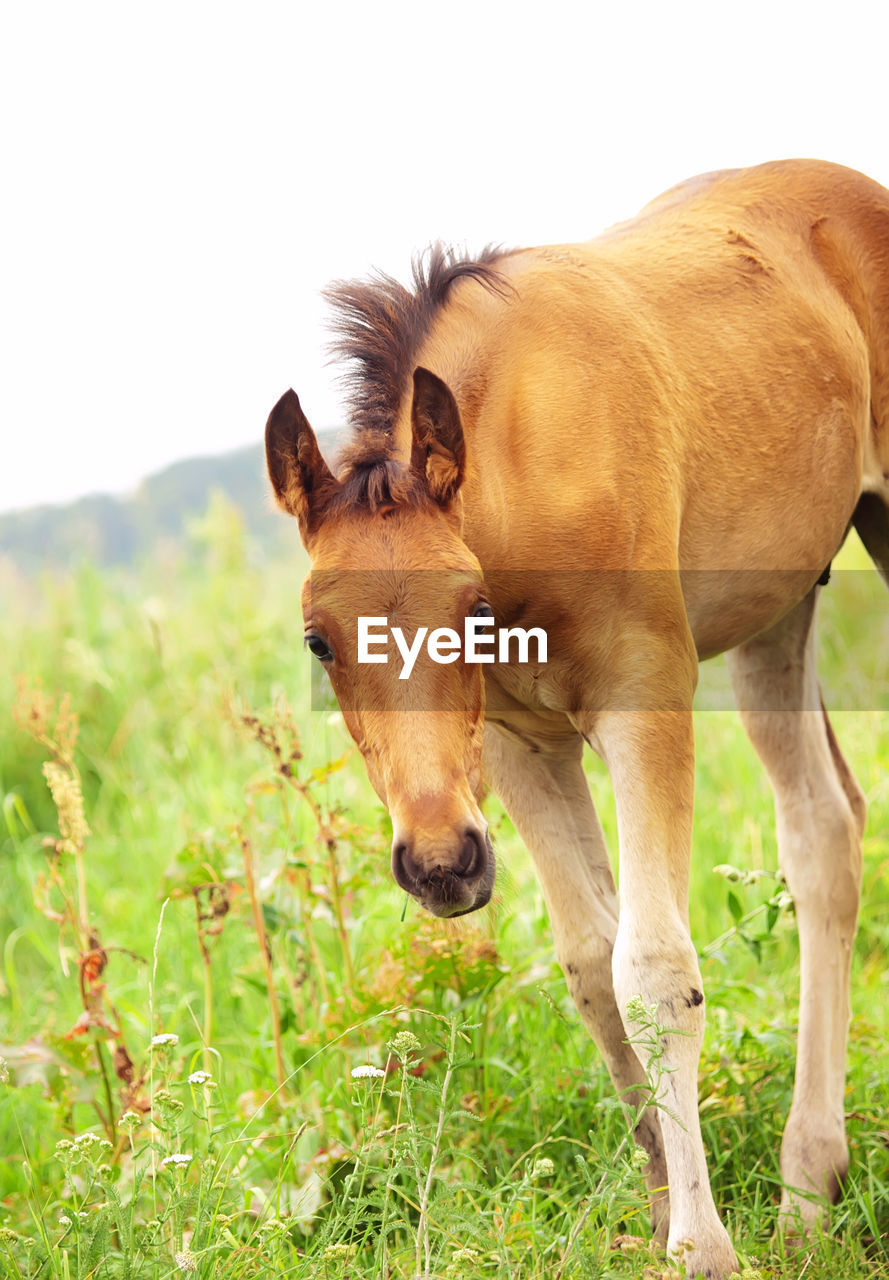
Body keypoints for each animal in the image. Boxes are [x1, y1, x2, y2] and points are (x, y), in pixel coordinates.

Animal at [266, 162, 889, 1280]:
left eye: (468, 610)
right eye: (317, 641)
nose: (439, 862)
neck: (528, 472)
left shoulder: (647, 694)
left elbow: (654, 970)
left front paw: (701, 1245)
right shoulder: (519, 746)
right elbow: (592, 966)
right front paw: (661, 1208)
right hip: (780, 603)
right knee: (822, 827)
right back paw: (808, 1190)